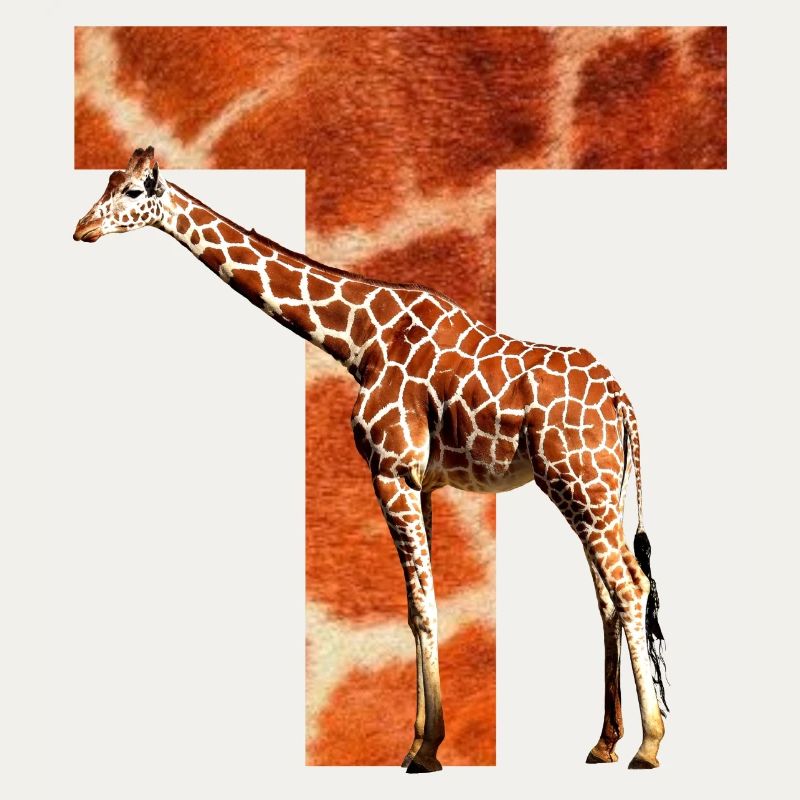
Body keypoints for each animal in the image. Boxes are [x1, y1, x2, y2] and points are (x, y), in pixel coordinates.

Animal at [74, 147, 669, 772]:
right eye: (107, 181)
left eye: (135, 190)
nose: (81, 229)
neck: (360, 338)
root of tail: (619, 397)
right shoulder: (421, 482)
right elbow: (416, 606)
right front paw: (417, 741)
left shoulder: (391, 470)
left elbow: (422, 607)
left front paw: (426, 750)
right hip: (592, 489)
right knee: (610, 596)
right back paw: (604, 742)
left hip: (580, 484)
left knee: (632, 587)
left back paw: (648, 745)